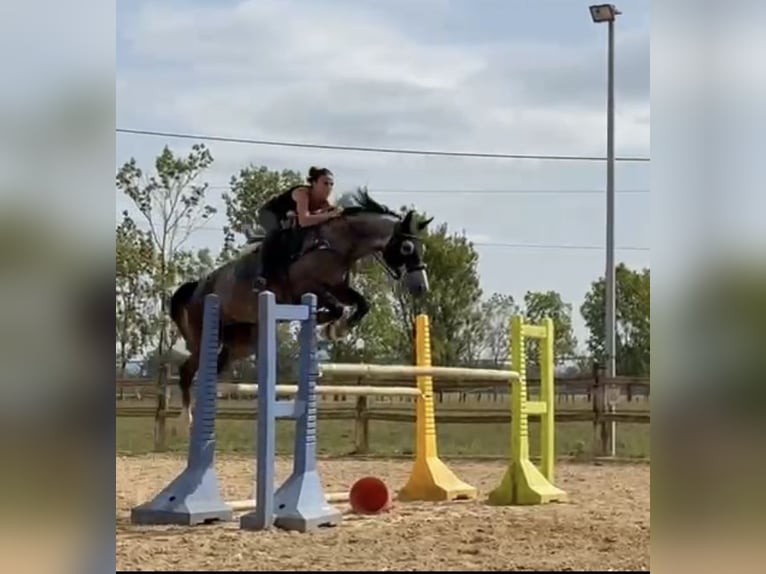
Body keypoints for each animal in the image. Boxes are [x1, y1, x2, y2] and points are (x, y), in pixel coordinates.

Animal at [169, 190, 433, 428]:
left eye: (423, 249)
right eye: (407, 248)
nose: (422, 287)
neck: (335, 244)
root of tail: (197, 286)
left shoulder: (338, 288)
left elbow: (362, 304)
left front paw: (334, 328)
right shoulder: (308, 287)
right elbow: (337, 307)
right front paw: (328, 325)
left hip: (241, 342)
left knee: (210, 368)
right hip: (206, 332)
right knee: (186, 371)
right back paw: (185, 419)